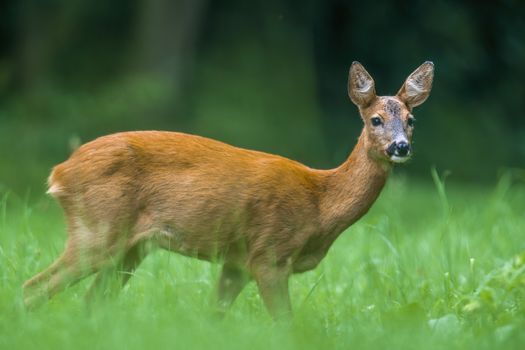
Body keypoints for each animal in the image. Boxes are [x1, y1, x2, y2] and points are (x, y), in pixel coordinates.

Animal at [22, 61, 434, 318]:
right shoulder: (269, 254)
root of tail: (59, 173)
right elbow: (286, 323)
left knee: (89, 302)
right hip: (98, 228)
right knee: (34, 288)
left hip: (130, 248)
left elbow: (214, 316)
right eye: (375, 119)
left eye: (411, 120)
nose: (401, 147)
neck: (320, 203)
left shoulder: (236, 262)